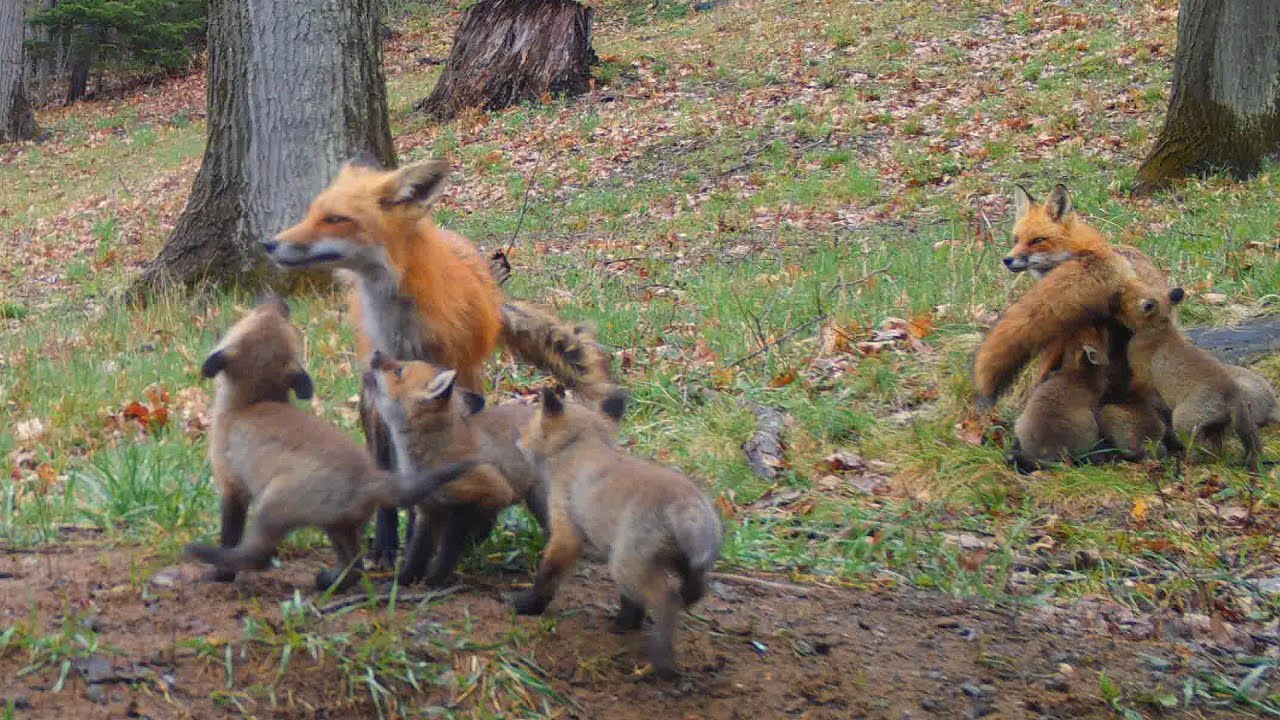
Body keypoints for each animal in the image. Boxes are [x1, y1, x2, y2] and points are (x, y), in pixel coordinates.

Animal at [187, 296, 474, 590]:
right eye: (278, 316)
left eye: (255, 315)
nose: (278, 299)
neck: (252, 403)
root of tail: (371, 478)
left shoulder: (231, 487)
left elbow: (230, 534)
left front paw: (221, 576)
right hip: (339, 527)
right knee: (354, 567)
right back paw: (330, 581)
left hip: (274, 508)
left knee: (256, 556)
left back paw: (208, 557)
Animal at [362, 352, 595, 586]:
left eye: (399, 371)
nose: (376, 354)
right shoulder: (429, 509)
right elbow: (418, 551)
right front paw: (403, 580)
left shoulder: (490, 493)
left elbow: (451, 543)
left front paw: (437, 577)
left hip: (541, 500)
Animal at [511, 388, 722, 678]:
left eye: (531, 424)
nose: (518, 440)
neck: (582, 448)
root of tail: (687, 501)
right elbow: (629, 601)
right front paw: (626, 622)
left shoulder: (566, 532)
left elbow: (548, 576)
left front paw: (529, 605)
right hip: (670, 561)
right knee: (695, 588)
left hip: (625, 563)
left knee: (666, 599)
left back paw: (661, 663)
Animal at [1120, 287, 1263, 469]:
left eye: (1125, 300)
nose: (1116, 296)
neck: (1159, 331)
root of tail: (1232, 395)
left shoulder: (1141, 373)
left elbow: (1135, 386)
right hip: (1220, 427)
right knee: (1223, 449)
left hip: (1182, 420)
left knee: (1199, 448)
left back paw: (1187, 461)